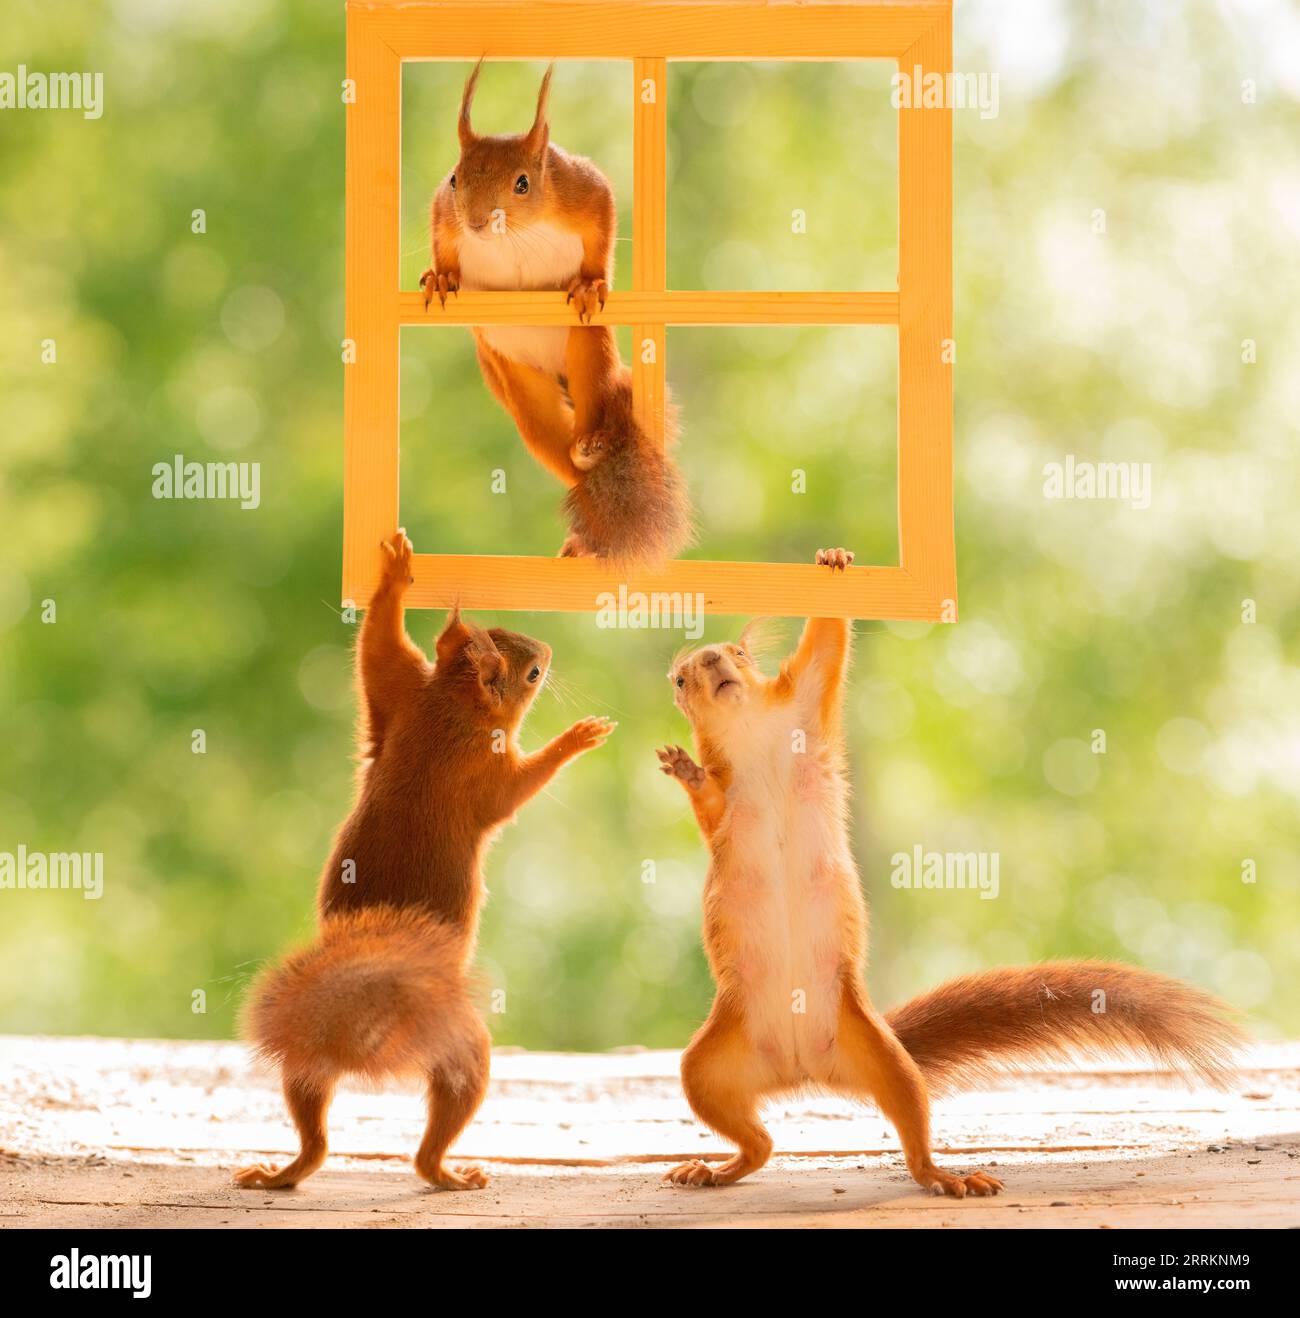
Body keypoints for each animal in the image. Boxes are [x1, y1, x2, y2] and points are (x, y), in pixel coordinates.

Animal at [233, 531, 615, 1191]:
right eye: (533, 672)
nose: (548, 648)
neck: (450, 704)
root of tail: (366, 1033)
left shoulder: (401, 689)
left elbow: (377, 647)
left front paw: (396, 576)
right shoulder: (485, 772)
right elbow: (517, 790)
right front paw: (577, 737)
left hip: (304, 1051)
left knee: (314, 1128)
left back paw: (281, 1172)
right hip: (465, 1051)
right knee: (431, 1139)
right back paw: (449, 1173)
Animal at [420, 60, 692, 564]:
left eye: (523, 183)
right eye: (454, 180)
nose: (477, 222)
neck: (514, 237)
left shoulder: (582, 191)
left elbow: (602, 226)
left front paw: (590, 283)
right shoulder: (444, 213)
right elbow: (441, 241)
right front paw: (441, 277)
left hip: (588, 352)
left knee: (595, 400)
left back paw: (595, 445)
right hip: (515, 384)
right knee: (555, 450)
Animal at [656, 547, 1243, 1196]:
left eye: (735, 655)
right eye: (681, 678)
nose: (712, 662)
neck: (751, 733)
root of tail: (799, 1068)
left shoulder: (805, 704)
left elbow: (826, 649)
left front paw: (833, 561)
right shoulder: (726, 802)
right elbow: (711, 809)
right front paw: (684, 768)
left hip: (882, 1057)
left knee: (902, 1120)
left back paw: (943, 1174)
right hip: (709, 1068)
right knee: (758, 1141)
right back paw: (713, 1168)